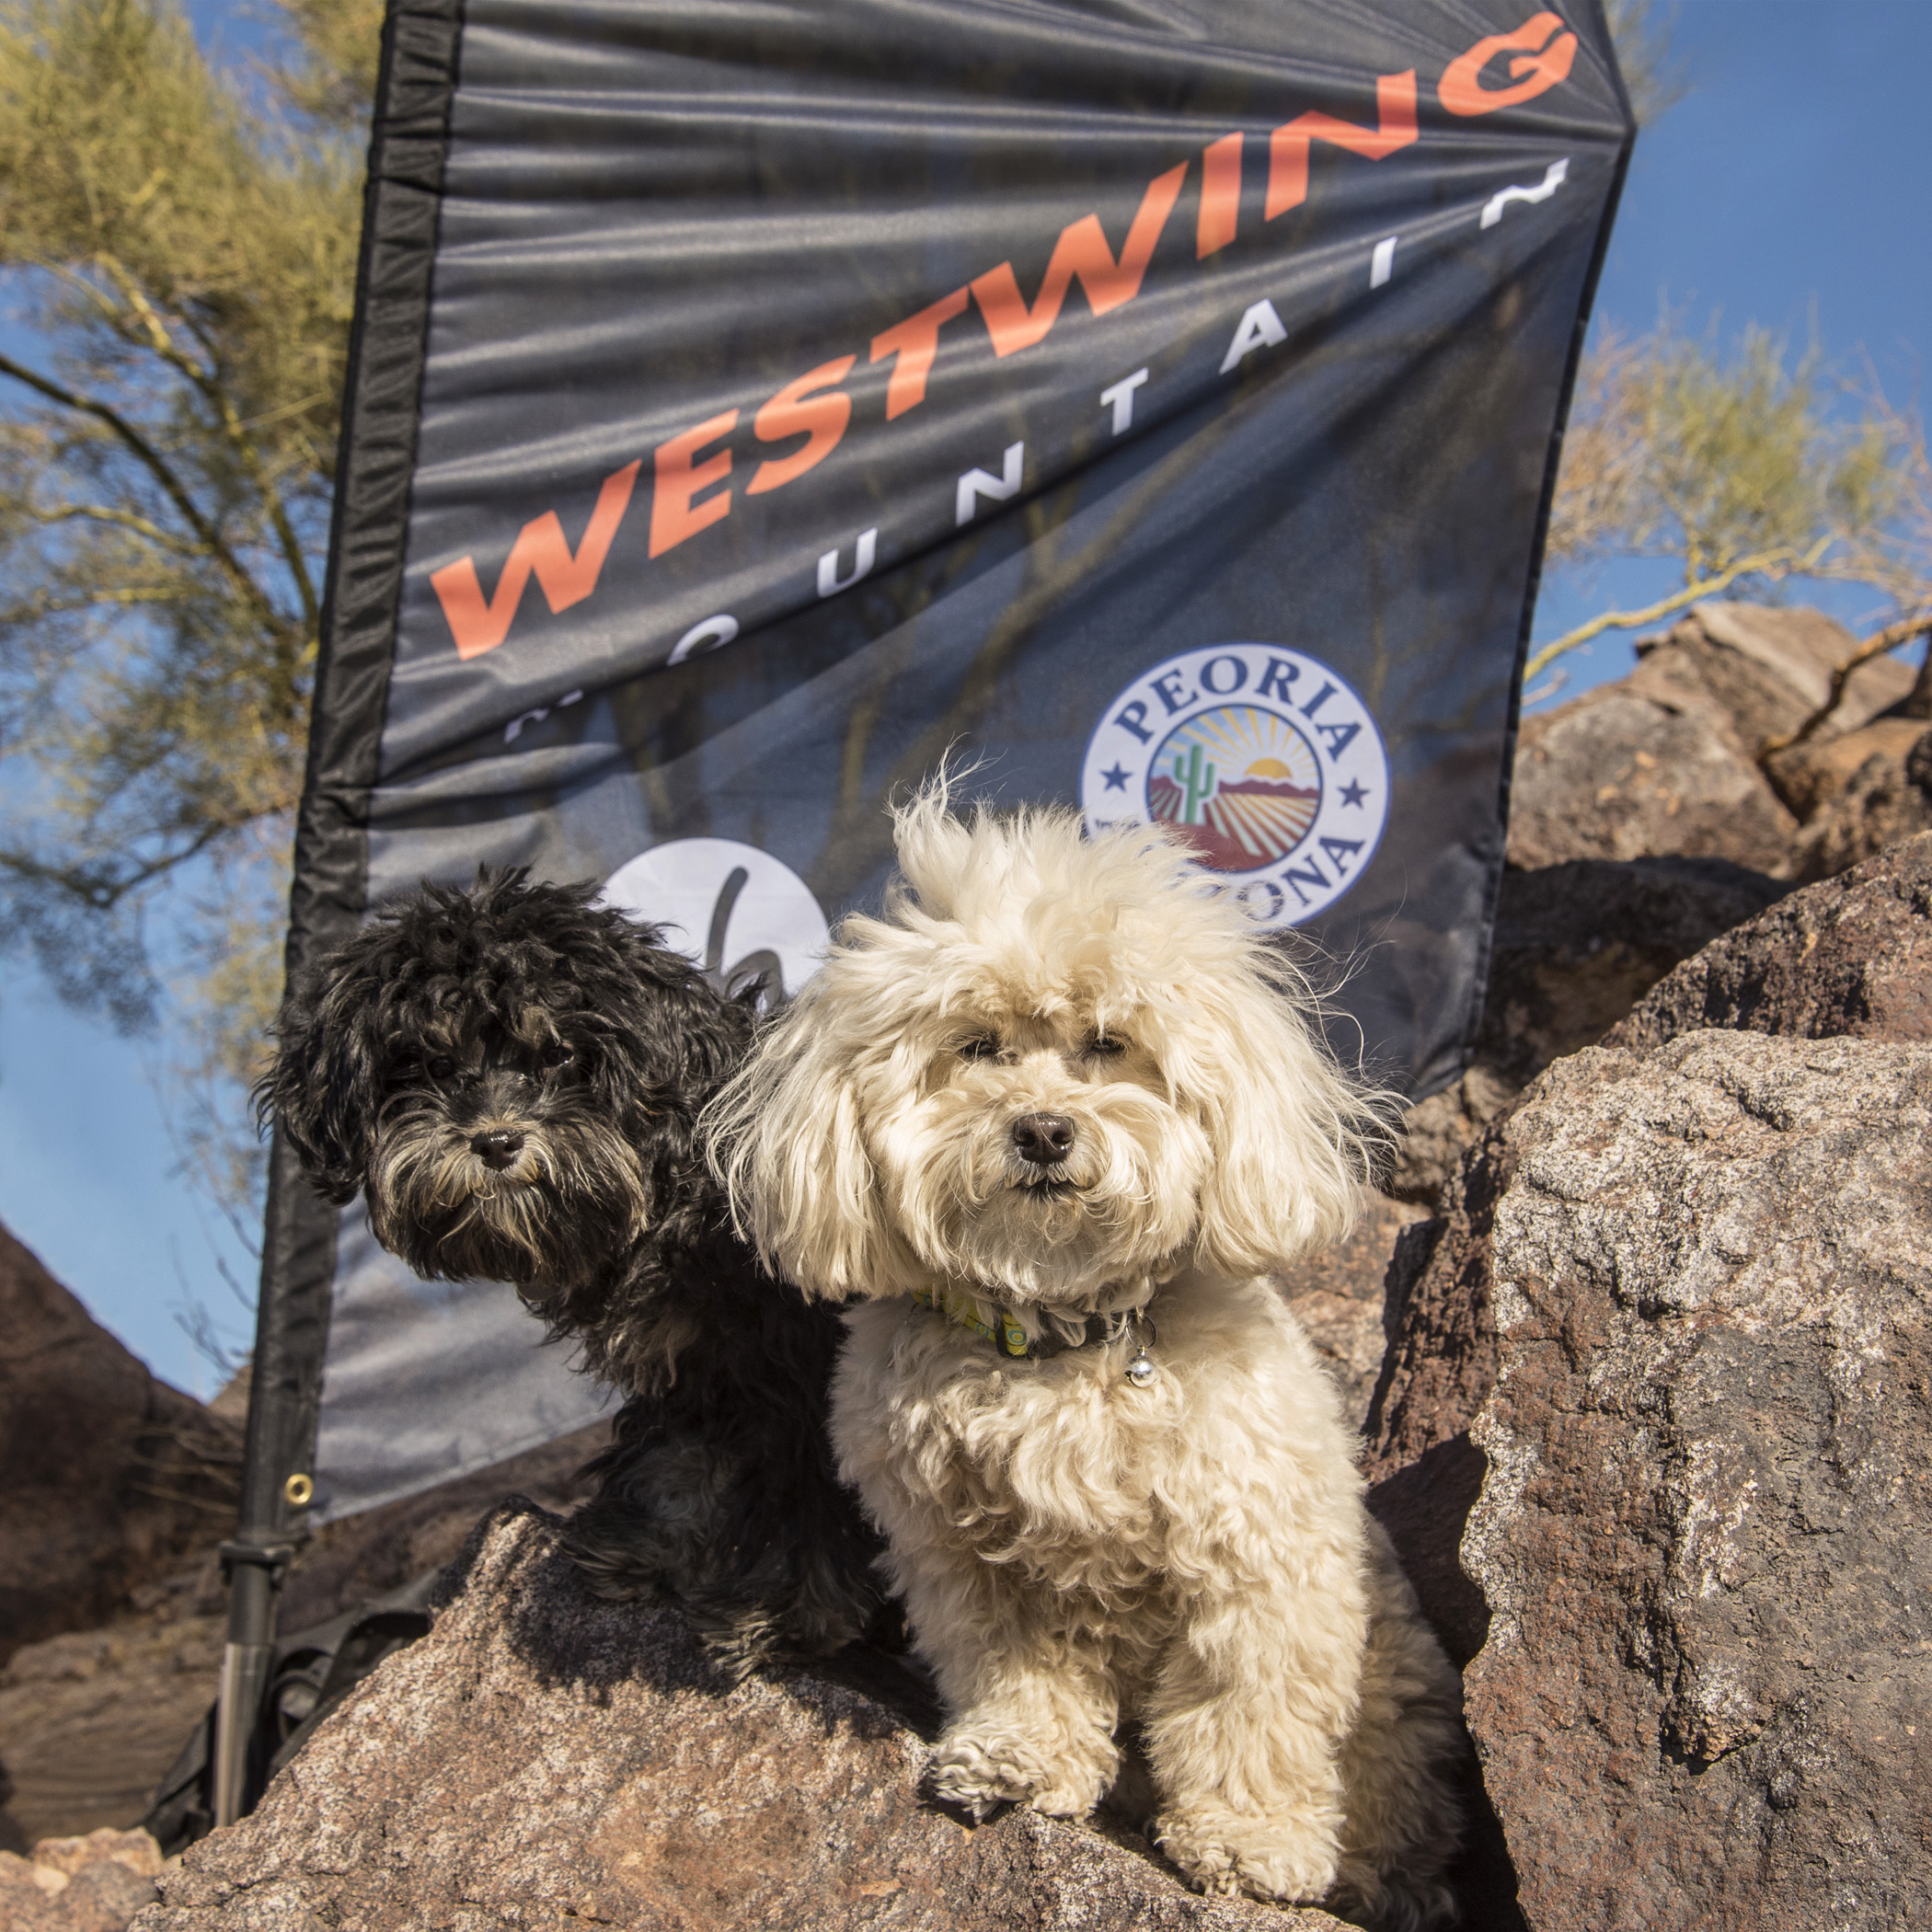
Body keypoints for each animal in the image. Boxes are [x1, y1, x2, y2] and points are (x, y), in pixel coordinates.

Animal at [257, 877, 884, 1676]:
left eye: (556, 1055)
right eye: (430, 1066)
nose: (496, 1140)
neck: (677, 1180)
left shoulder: (803, 1356)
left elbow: (805, 1487)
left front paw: (781, 1611)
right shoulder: (698, 1366)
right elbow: (681, 1452)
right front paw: (649, 1542)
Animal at [714, 788, 1460, 1932]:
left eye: (1109, 1044)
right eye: (979, 1046)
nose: (1043, 1131)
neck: (1060, 1340)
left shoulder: (1259, 1561)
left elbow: (1254, 1707)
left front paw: (1253, 1841)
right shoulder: (963, 1561)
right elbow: (1016, 1669)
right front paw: (1018, 1762)